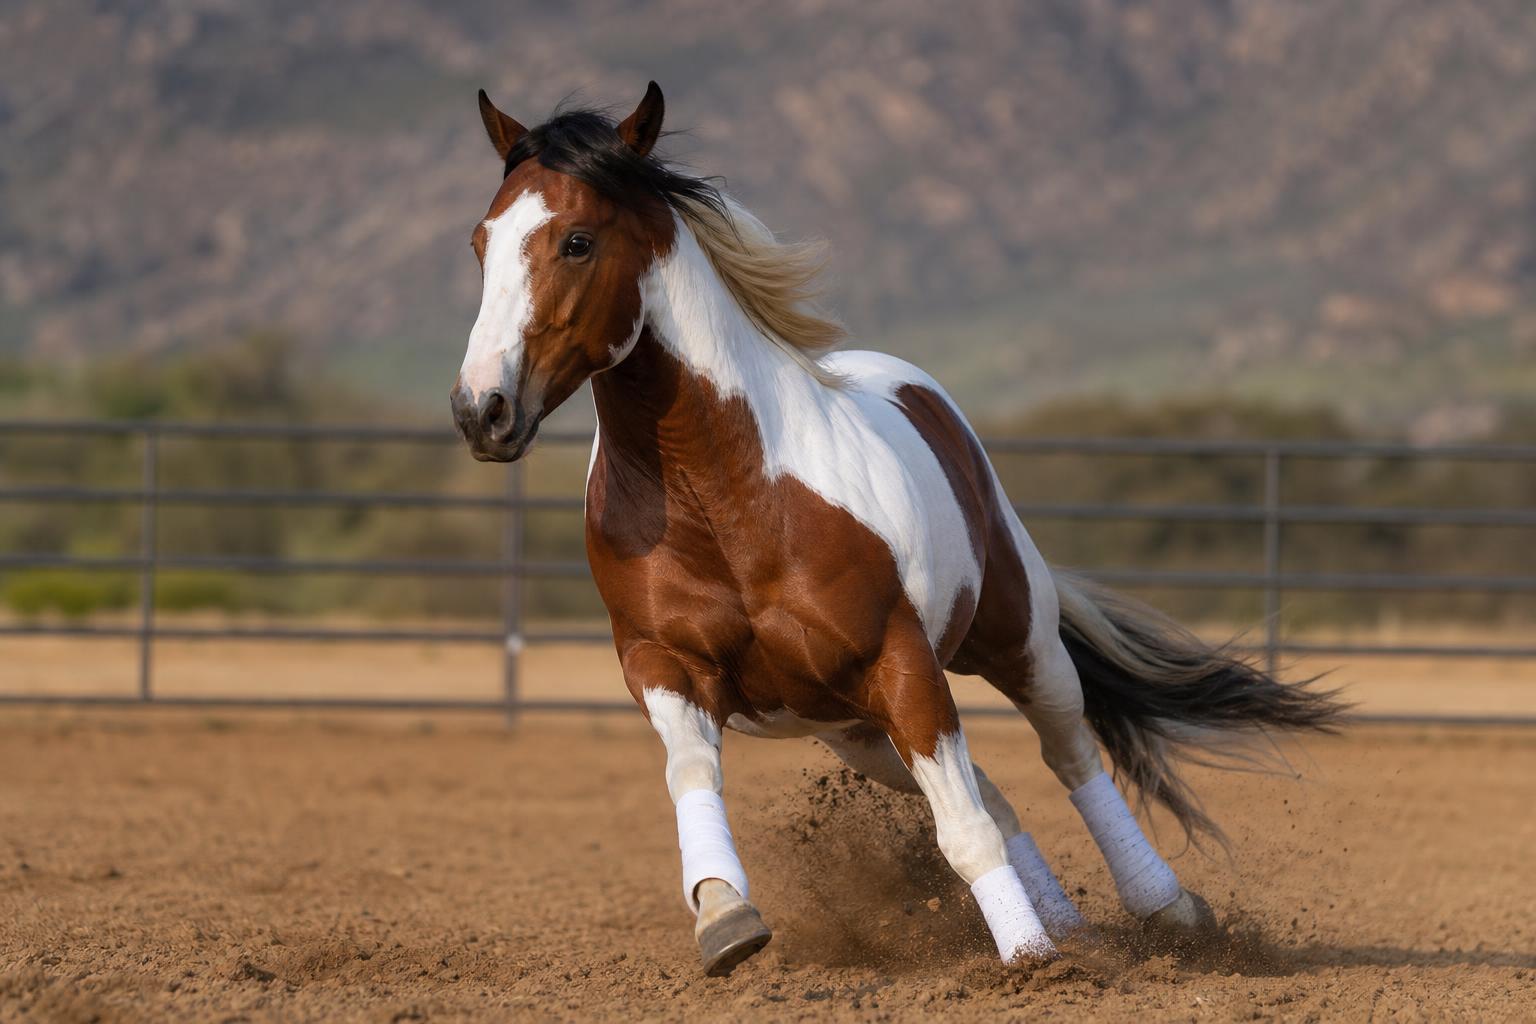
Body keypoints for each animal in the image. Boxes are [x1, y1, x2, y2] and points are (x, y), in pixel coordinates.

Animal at [451, 81, 1345, 976]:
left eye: (577, 241)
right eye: (480, 242)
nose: (481, 409)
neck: (730, 501)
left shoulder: (901, 661)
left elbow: (969, 831)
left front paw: (1027, 960)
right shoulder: (663, 667)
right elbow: (695, 776)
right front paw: (725, 918)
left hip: (1016, 645)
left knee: (1066, 757)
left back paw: (1157, 909)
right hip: (858, 732)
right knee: (995, 794)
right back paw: (1074, 931)